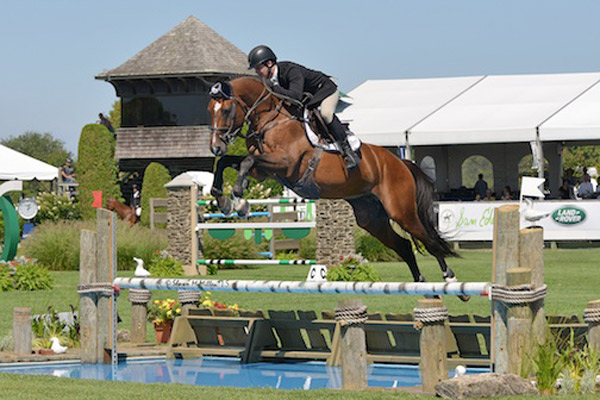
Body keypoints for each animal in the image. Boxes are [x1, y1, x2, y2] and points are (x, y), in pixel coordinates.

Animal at [209, 76, 466, 298]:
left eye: (225, 110)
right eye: (209, 110)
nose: (215, 147)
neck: (271, 120)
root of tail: (400, 163)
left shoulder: (285, 164)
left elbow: (246, 161)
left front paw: (239, 199)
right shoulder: (264, 171)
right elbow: (230, 162)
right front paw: (222, 199)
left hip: (401, 211)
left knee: (429, 240)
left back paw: (451, 282)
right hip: (371, 217)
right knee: (403, 245)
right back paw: (422, 285)